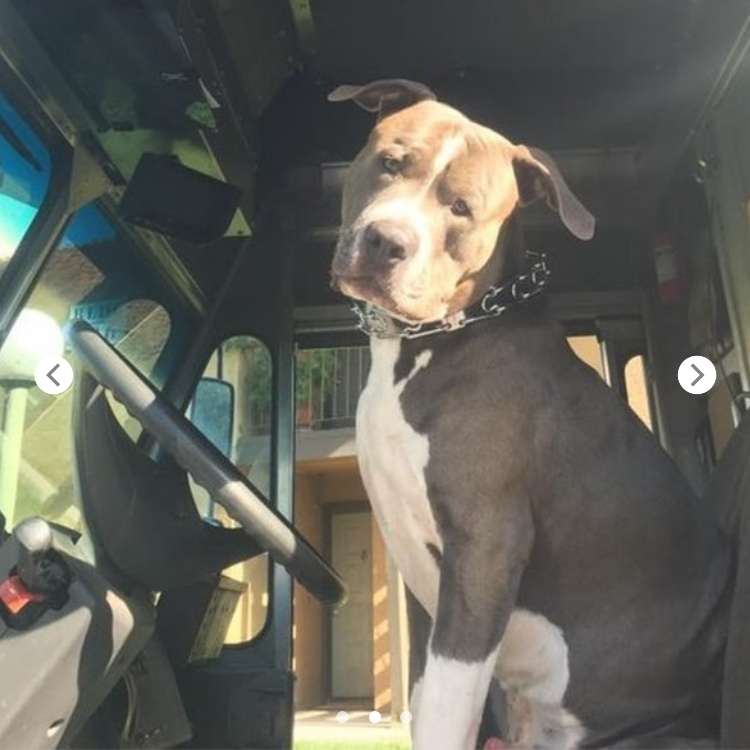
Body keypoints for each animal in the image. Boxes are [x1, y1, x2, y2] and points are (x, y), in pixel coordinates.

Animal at [328, 79, 736, 748]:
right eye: (389, 162)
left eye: (462, 208)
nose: (387, 241)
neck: (441, 337)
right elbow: (425, 694)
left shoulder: (485, 548)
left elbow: (444, 708)